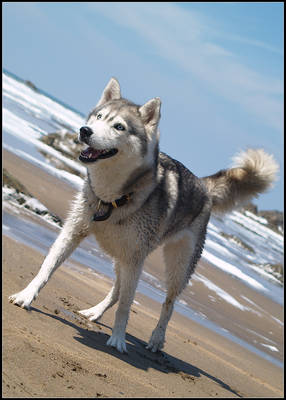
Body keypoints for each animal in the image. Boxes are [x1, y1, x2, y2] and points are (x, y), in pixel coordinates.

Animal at [9, 78, 280, 354]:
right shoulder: (74, 232)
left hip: (176, 266)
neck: (113, 196)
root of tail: (202, 184)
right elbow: (47, 269)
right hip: (122, 256)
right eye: (99, 116)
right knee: (118, 290)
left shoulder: (135, 259)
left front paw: (118, 339)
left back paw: (156, 339)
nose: (85, 131)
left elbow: (126, 306)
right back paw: (95, 312)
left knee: (168, 303)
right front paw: (26, 296)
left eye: (119, 126)